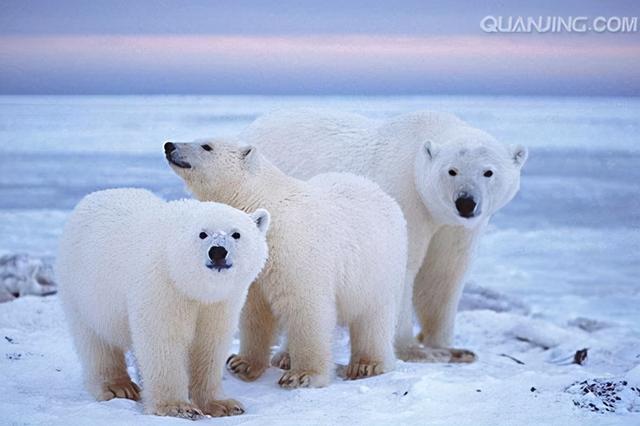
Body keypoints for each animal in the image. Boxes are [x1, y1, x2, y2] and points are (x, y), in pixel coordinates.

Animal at [55, 188, 272, 418]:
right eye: (202, 233)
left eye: (236, 234)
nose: (218, 252)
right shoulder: (162, 285)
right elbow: (163, 339)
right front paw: (178, 407)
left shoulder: (221, 302)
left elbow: (210, 343)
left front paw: (223, 405)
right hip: (84, 290)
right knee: (95, 340)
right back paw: (118, 387)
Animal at [165, 141, 404, 390]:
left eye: (206, 146)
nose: (169, 145)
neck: (264, 202)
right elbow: (254, 312)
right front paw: (242, 363)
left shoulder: (296, 250)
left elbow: (307, 307)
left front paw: (303, 376)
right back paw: (285, 356)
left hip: (378, 265)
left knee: (373, 315)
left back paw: (367, 365)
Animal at [238, 109, 528, 360]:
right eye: (452, 170)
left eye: (488, 172)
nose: (466, 202)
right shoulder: (406, 199)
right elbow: (402, 268)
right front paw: (411, 349)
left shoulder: (454, 228)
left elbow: (444, 274)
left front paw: (449, 347)